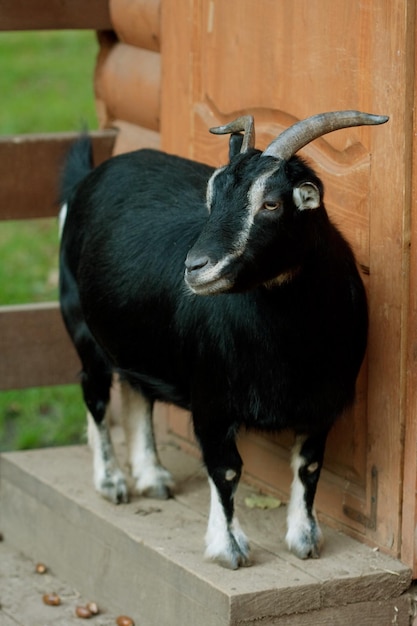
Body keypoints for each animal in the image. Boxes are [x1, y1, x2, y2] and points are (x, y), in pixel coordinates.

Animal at [58, 111, 386, 564]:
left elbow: (309, 466)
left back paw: (152, 476)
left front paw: (305, 539)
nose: (196, 267)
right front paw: (227, 547)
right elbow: (226, 468)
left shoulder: (323, 403)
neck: (291, 342)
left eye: (271, 203)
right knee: (95, 394)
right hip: (80, 323)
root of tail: (90, 177)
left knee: (137, 391)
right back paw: (111, 481)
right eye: (212, 200)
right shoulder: (211, 399)